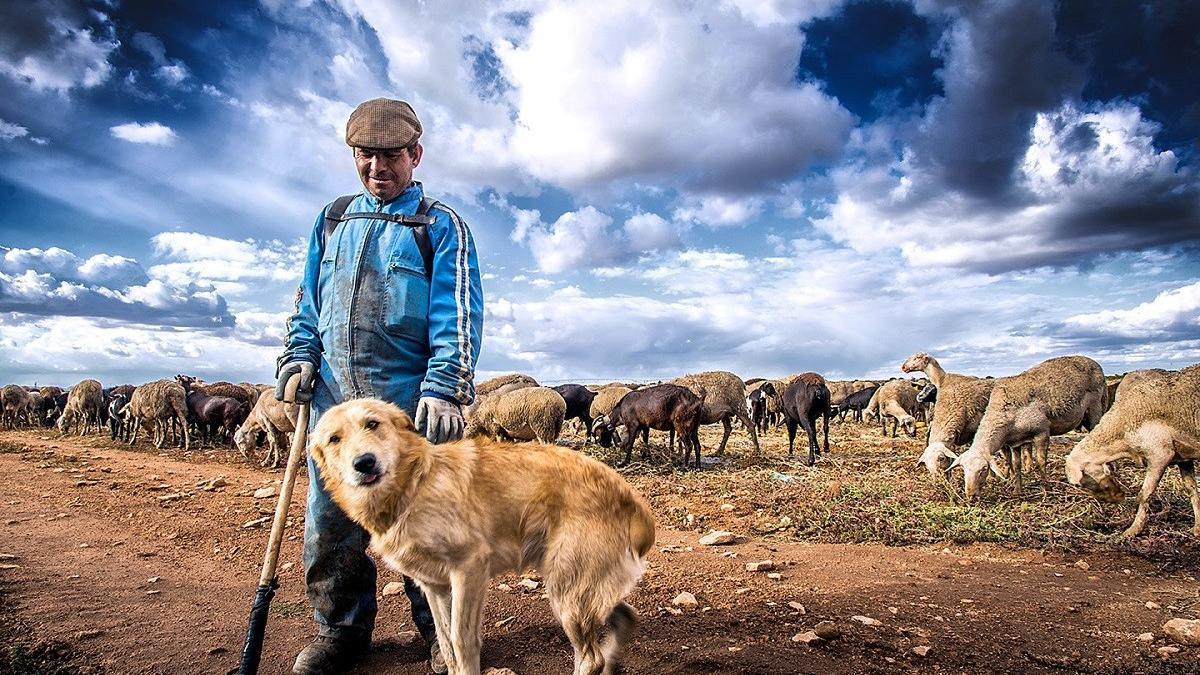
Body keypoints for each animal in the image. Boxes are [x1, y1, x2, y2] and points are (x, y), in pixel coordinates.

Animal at [304, 396, 652, 667]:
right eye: (334, 439)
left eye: (373, 424)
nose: (364, 463)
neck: (413, 485)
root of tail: (629, 496)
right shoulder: (434, 586)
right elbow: (446, 643)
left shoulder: (469, 569)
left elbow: (462, 643)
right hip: (582, 586)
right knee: (623, 618)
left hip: (567, 589)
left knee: (591, 658)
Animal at [945, 355, 1104, 497]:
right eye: (963, 469)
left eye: (983, 469)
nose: (970, 495)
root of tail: (1093, 362)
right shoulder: (1015, 442)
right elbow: (1017, 465)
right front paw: (1017, 491)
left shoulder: (1042, 432)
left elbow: (1040, 462)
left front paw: (1046, 489)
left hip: (1095, 408)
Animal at [1065, 365, 1200, 538]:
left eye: (1081, 482)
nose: (1117, 498)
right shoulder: (1184, 458)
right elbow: (1192, 490)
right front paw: (1197, 528)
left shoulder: (1161, 454)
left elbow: (1144, 495)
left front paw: (1132, 530)